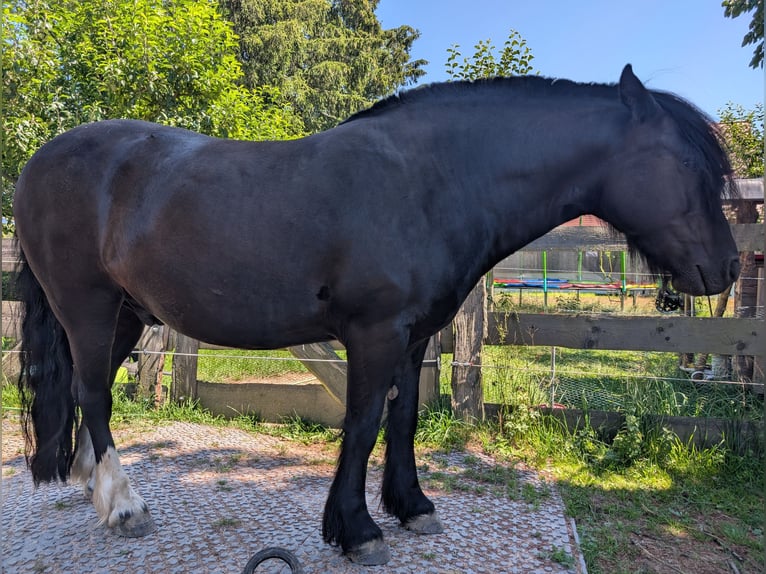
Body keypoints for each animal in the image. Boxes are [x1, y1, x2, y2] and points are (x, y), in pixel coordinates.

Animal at [13, 64, 739, 565]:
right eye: (685, 164)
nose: (728, 268)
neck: (430, 180)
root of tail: (39, 160)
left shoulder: (414, 337)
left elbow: (404, 417)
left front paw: (411, 506)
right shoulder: (373, 333)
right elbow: (361, 426)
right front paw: (357, 531)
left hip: (126, 315)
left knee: (87, 393)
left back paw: (92, 485)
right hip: (86, 307)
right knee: (94, 395)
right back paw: (125, 506)